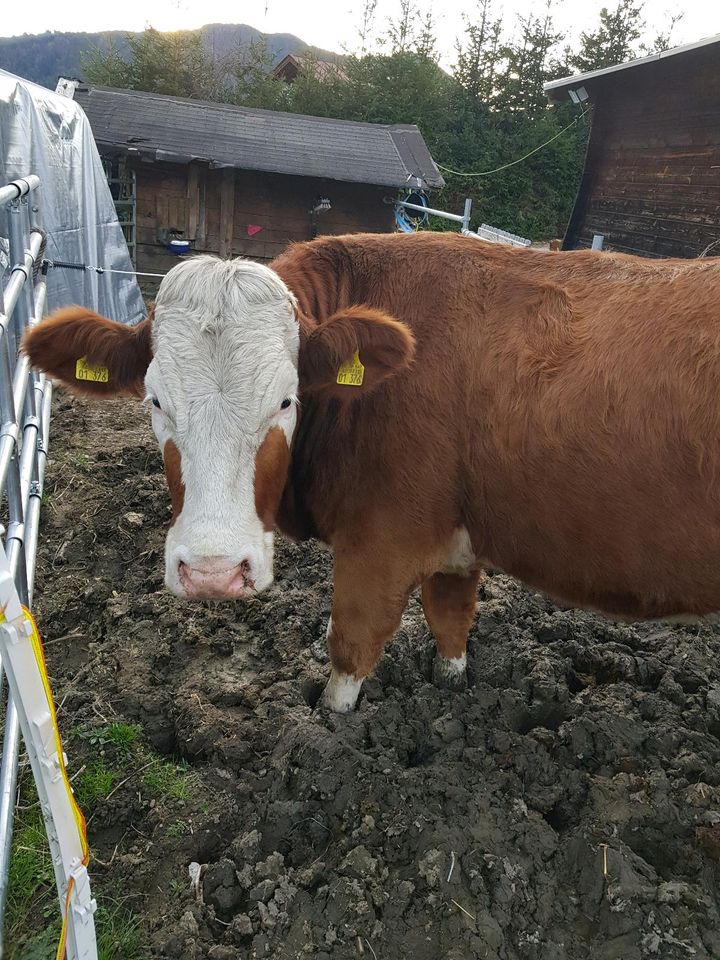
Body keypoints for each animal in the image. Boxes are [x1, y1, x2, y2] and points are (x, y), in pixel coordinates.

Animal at [25, 231, 720, 712]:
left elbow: (351, 646)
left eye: (287, 400)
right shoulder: (454, 542)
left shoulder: (382, 540)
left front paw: (331, 724)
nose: (214, 572)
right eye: (154, 400)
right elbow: (450, 621)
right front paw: (449, 688)